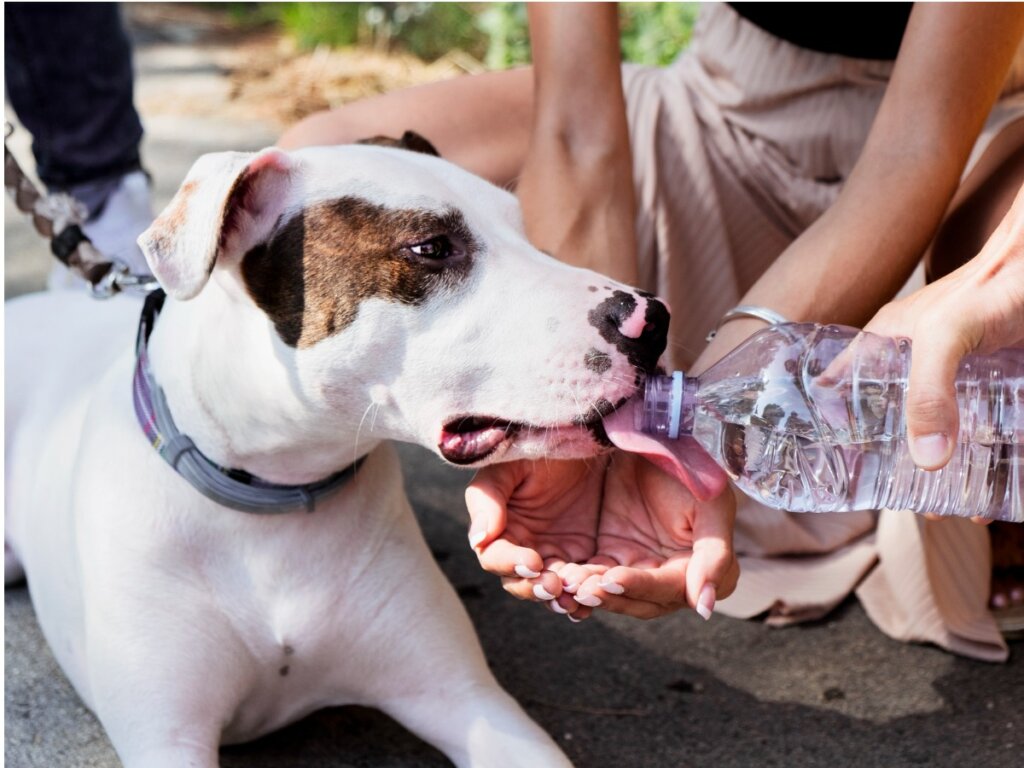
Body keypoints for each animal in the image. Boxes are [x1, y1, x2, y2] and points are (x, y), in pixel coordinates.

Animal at [4, 135, 667, 765]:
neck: (275, 499)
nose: (653, 319)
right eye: (432, 248)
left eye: (523, 230)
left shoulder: (468, 699)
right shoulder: (166, 739)